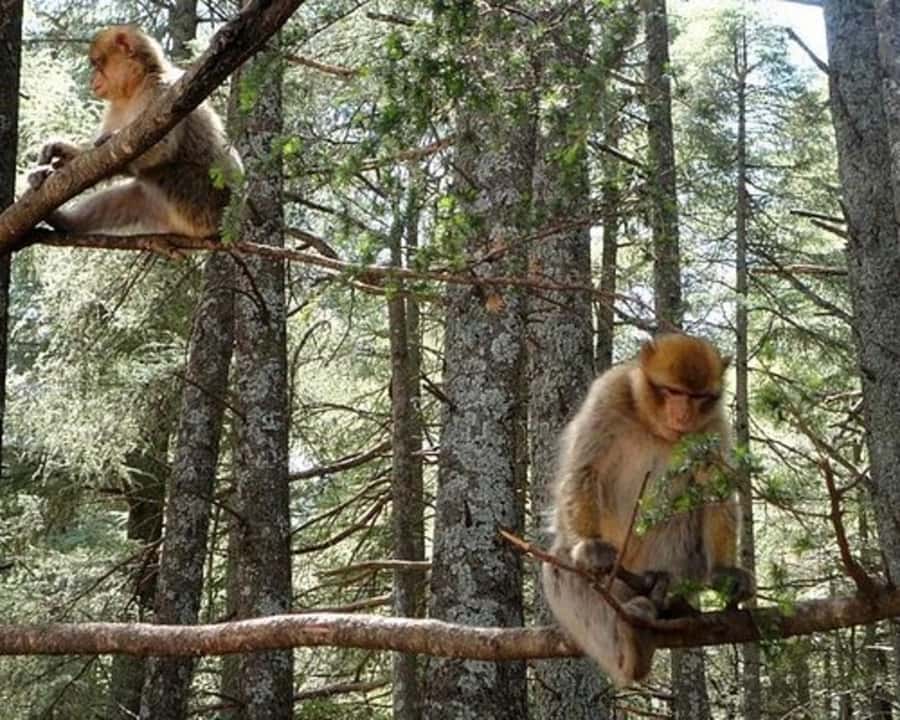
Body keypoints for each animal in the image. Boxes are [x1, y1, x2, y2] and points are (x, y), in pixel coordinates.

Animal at [28, 25, 241, 237]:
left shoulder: (160, 90)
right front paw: (61, 152)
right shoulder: (116, 108)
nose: (91, 79)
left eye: (97, 64)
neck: (134, 89)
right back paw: (66, 223)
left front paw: (106, 142)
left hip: (204, 201)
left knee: (164, 171)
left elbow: (161, 148)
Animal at [541, 333, 754, 686]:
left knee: (685, 516)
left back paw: (664, 595)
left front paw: (725, 572)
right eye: (674, 392)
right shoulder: (609, 395)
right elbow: (586, 470)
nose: (683, 415)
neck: (653, 425)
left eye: (698, 397)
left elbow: (713, 491)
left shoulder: (712, 425)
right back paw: (631, 649)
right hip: (617, 585)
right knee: (561, 563)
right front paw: (591, 547)